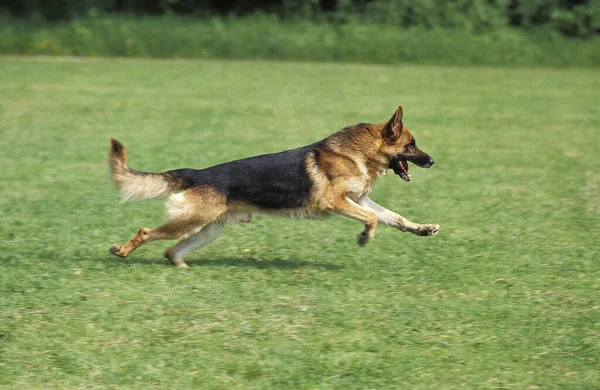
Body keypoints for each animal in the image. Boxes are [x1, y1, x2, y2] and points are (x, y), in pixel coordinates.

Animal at [108, 105, 438, 266]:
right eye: (411, 144)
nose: (433, 161)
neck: (359, 151)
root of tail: (199, 173)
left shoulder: (360, 200)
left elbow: (394, 217)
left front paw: (422, 229)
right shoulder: (335, 202)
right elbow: (372, 219)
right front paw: (364, 237)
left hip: (206, 229)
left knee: (171, 252)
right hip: (189, 221)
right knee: (146, 232)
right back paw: (122, 251)